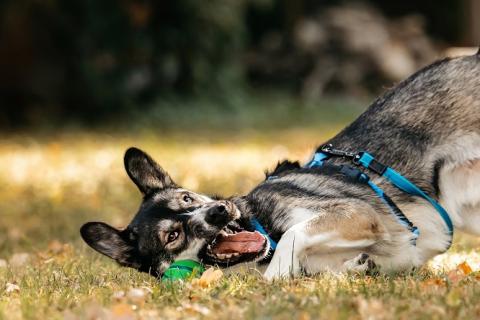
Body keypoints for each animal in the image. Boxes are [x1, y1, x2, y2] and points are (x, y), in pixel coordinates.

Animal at [80, 50, 480, 280]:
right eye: (172, 235)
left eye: (189, 198)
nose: (219, 211)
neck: (261, 226)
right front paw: (351, 269)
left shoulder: (353, 215)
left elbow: (289, 243)